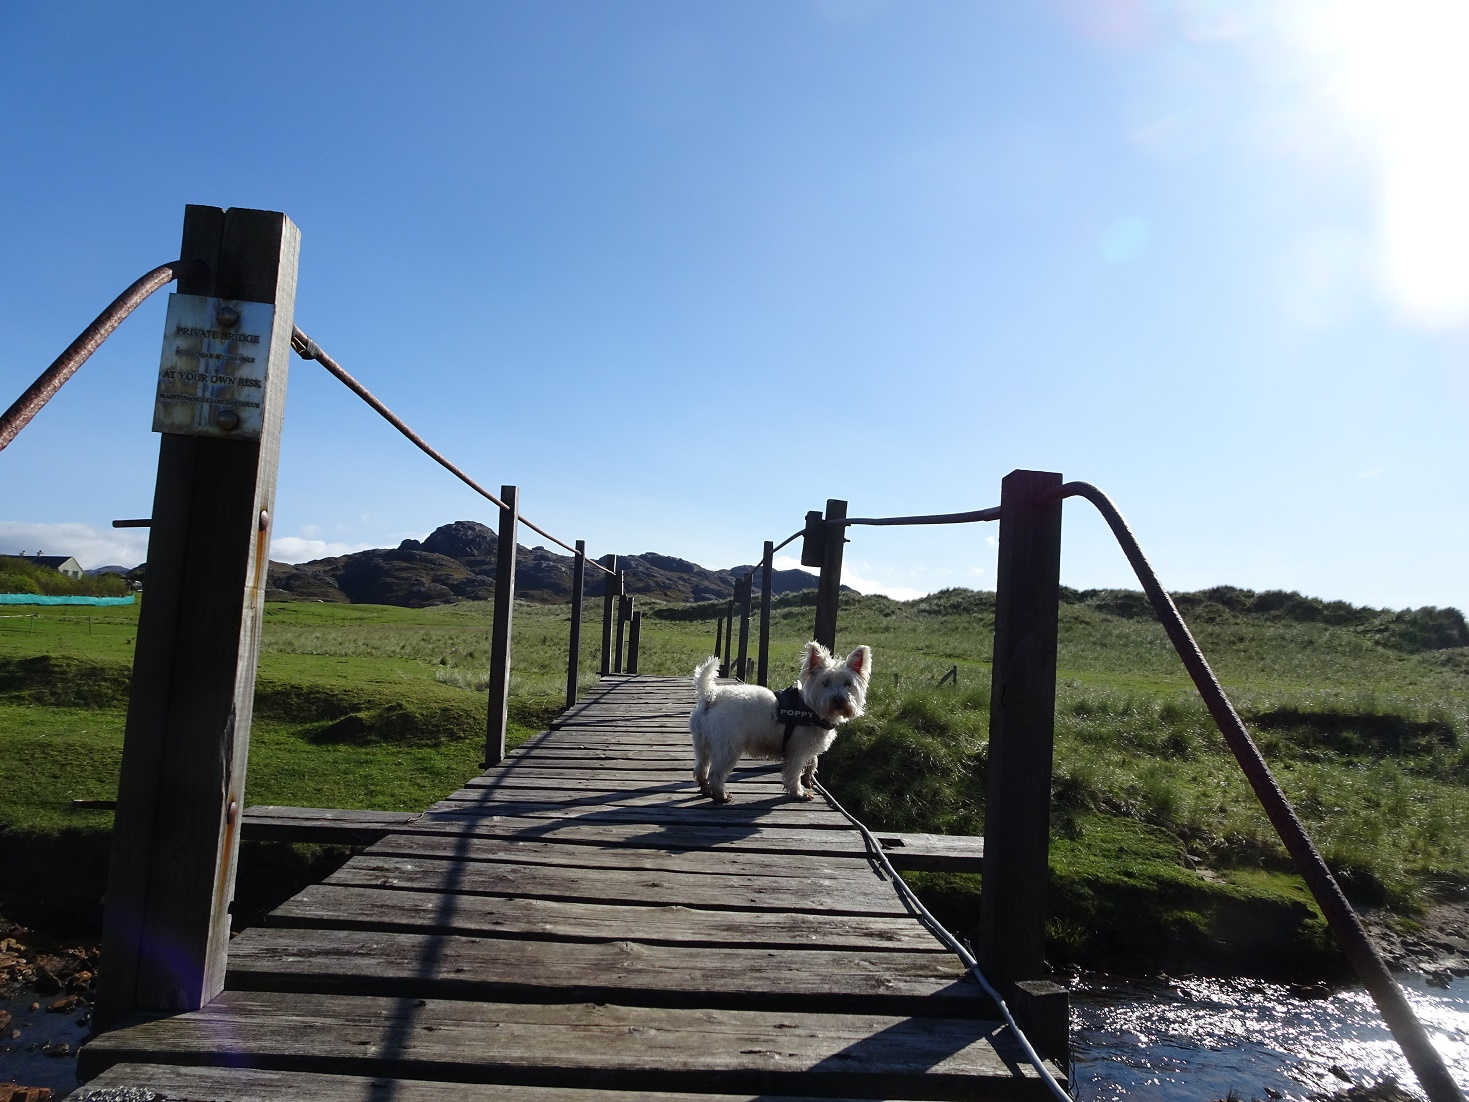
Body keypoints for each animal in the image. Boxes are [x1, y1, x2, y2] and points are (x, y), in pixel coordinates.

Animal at [687, 643, 869, 805]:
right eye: (825, 682)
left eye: (848, 683)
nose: (839, 700)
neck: (811, 709)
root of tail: (711, 695)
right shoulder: (797, 751)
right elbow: (794, 774)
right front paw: (799, 793)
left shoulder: (808, 747)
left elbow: (813, 761)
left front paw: (808, 778)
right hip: (728, 747)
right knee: (716, 774)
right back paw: (721, 795)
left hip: (702, 743)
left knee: (701, 768)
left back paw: (706, 789)